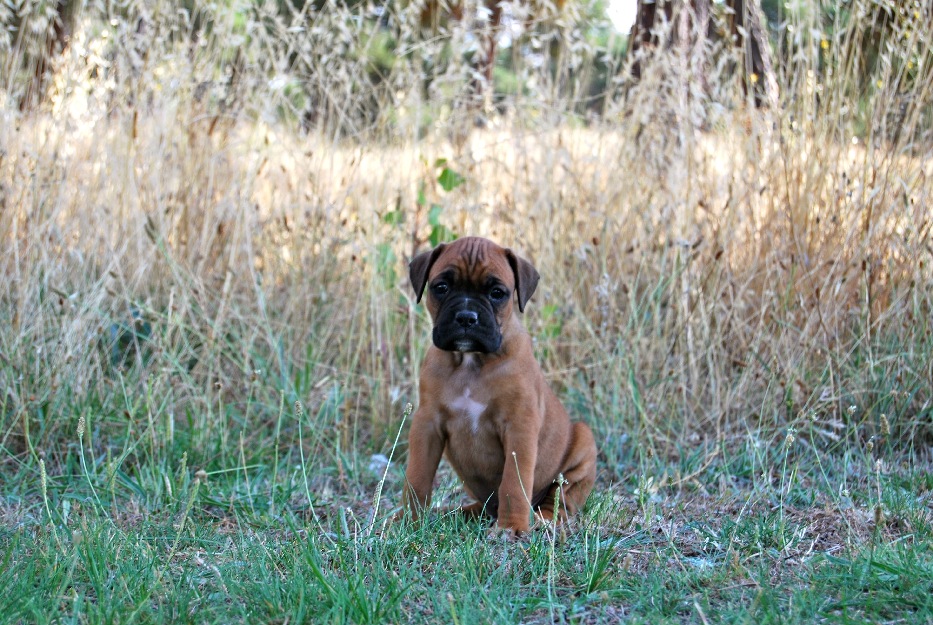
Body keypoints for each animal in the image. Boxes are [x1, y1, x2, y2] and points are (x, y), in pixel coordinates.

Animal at [402, 236, 596, 532]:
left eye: (497, 292)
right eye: (441, 287)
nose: (466, 317)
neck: (471, 361)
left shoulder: (519, 427)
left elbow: (514, 484)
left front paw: (512, 527)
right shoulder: (427, 425)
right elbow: (417, 476)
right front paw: (406, 521)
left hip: (583, 442)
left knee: (560, 501)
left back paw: (543, 520)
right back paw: (455, 514)